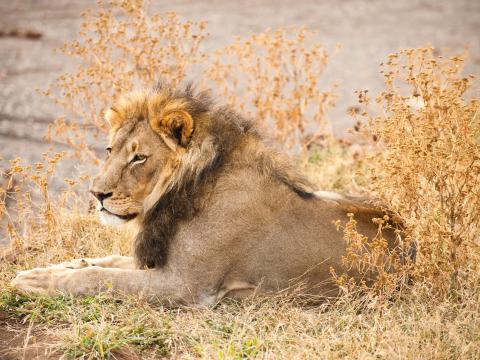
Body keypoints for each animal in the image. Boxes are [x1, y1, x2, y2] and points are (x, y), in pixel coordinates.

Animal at [10, 81, 402, 304]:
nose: (96, 194)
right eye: (110, 151)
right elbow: (102, 262)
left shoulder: (184, 285)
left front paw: (45, 281)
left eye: (139, 157)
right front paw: (43, 271)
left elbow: (96, 278)